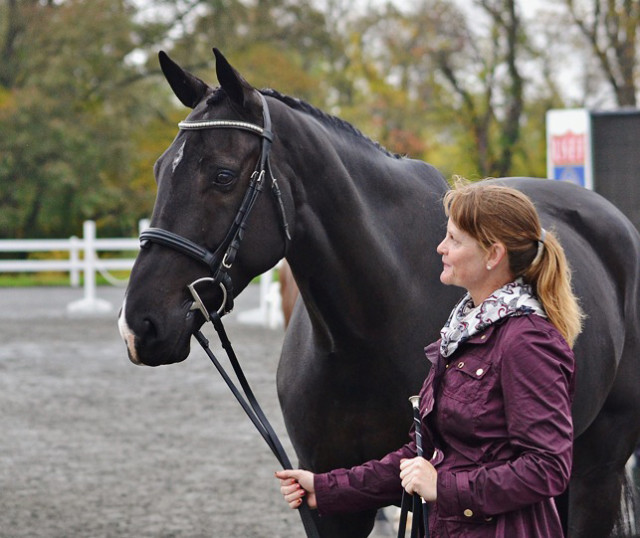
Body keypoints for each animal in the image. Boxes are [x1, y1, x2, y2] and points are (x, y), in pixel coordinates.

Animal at [119, 48, 640, 532]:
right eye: (159, 169)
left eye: (223, 175)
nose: (138, 325)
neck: (368, 328)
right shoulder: (329, 499)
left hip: (597, 468)